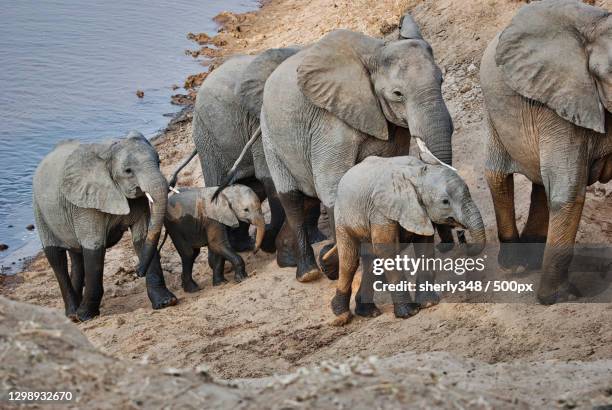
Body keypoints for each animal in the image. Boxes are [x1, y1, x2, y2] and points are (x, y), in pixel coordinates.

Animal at [33, 131, 175, 320]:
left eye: (159, 162)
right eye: (128, 171)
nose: (137, 271)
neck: (109, 152)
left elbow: (142, 237)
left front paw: (166, 302)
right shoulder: (85, 205)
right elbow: (94, 248)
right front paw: (85, 316)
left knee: (76, 255)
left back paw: (75, 311)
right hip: (39, 209)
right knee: (56, 258)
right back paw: (73, 314)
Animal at [167, 48, 320, 268]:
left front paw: (317, 238)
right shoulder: (259, 119)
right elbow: (270, 176)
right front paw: (271, 245)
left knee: (249, 186)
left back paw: (242, 245)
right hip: (206, 135)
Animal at [256, 16, 454, 286]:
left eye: (441, 81)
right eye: (397, 94)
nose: (447, 245)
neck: (376, 52)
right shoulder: (329, 123)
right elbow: (332, 185)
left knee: (308, 197)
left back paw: (288, 259)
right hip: (269, 137)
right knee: (292, 199)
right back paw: (308, 272)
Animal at [328, 155, 486, 326]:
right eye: (445, 202)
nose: (461, 234)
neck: (417, 173)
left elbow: (424, 246)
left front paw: (428, 303)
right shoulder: (380, 212)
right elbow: (387, 251)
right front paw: (409, 313)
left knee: (371, 260)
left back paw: (369, 312)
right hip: (342, 218)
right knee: (349, 261)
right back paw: (341, 314)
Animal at [482, 0, 612, 304]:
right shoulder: (564, 100)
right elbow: (569, 194)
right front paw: (560, 297)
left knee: (543, 182)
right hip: (495, 113)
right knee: (497, 175)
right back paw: (515, 266)